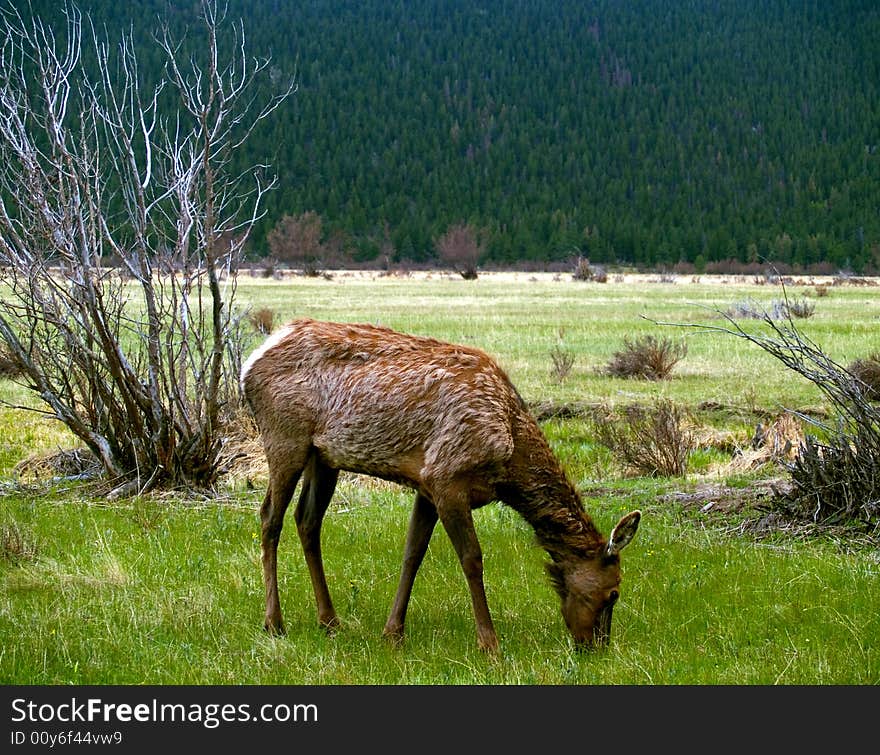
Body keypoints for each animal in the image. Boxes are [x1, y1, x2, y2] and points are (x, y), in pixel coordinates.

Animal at [241, 316, 640, 652]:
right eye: (614, 592)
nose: (596, 648)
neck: (508, 459)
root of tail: (250, 362)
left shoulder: (426, 485)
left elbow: (413, 553)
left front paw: (393, 633)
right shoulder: (447, 478)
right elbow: (472, 559)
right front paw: (489, 643)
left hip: (323, 457)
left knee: (307, 520)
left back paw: (330, 620)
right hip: (285, 438)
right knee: (269, 518)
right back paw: (274, 622)